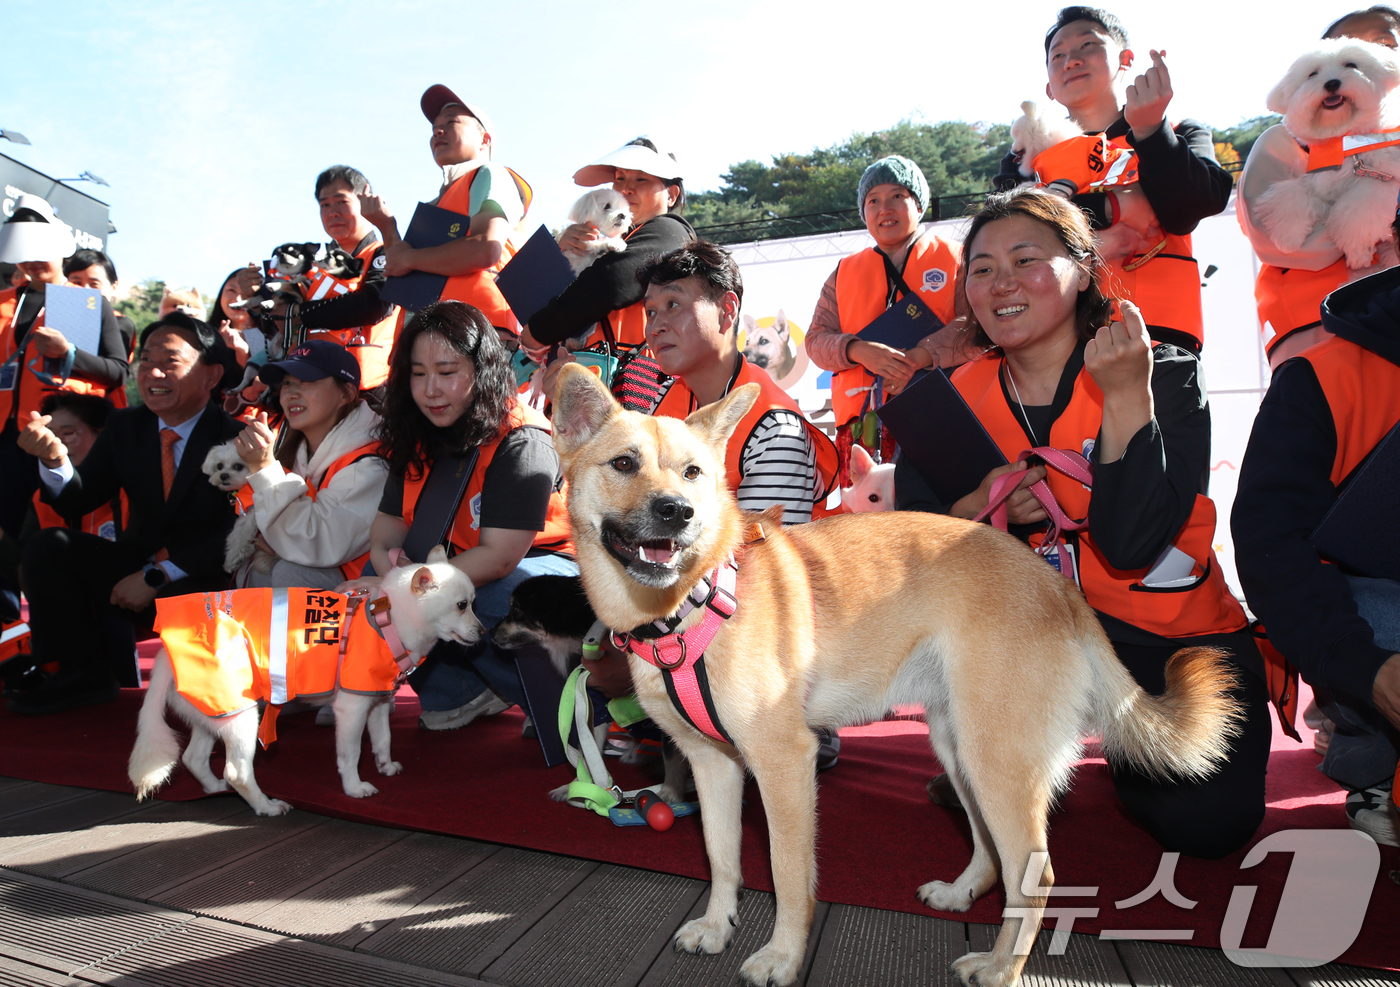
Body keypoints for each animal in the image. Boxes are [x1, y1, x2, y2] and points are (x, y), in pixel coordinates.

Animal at [131, 546, 481, 817]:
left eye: (473, 602)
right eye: (462, 605)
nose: (484, 632)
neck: (387, 617)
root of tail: (164, 656)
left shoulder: (378, 702)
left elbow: (383, 739)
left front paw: (385, 766)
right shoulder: (352, 710)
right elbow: (351, 754)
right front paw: (355, 788)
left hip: (218, 714)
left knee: (194, 758)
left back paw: (217, 788)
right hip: (242, 720)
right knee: (237, 772)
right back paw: (266, 806)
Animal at [1254, 39, 1400, 266]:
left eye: (1351, 65)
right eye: (1313, 74)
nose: (1331, 83)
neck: (1342, 140)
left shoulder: (1383, 181)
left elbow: (1356, 214)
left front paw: (1357, 252)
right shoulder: (1317, 181)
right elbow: (1290, 196)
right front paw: (1287, 239)